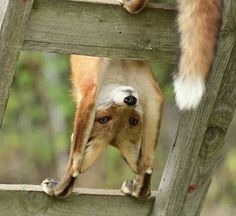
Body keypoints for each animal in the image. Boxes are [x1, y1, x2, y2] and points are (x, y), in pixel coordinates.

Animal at [42, 55, 164, 199]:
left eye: (133, 121)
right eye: (103, 119)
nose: (130, 100)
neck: (118, 69)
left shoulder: (89, 90)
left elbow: (76, 160)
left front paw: (61, 187)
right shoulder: (152, 96)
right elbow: (147, 164)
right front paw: (140, 188)